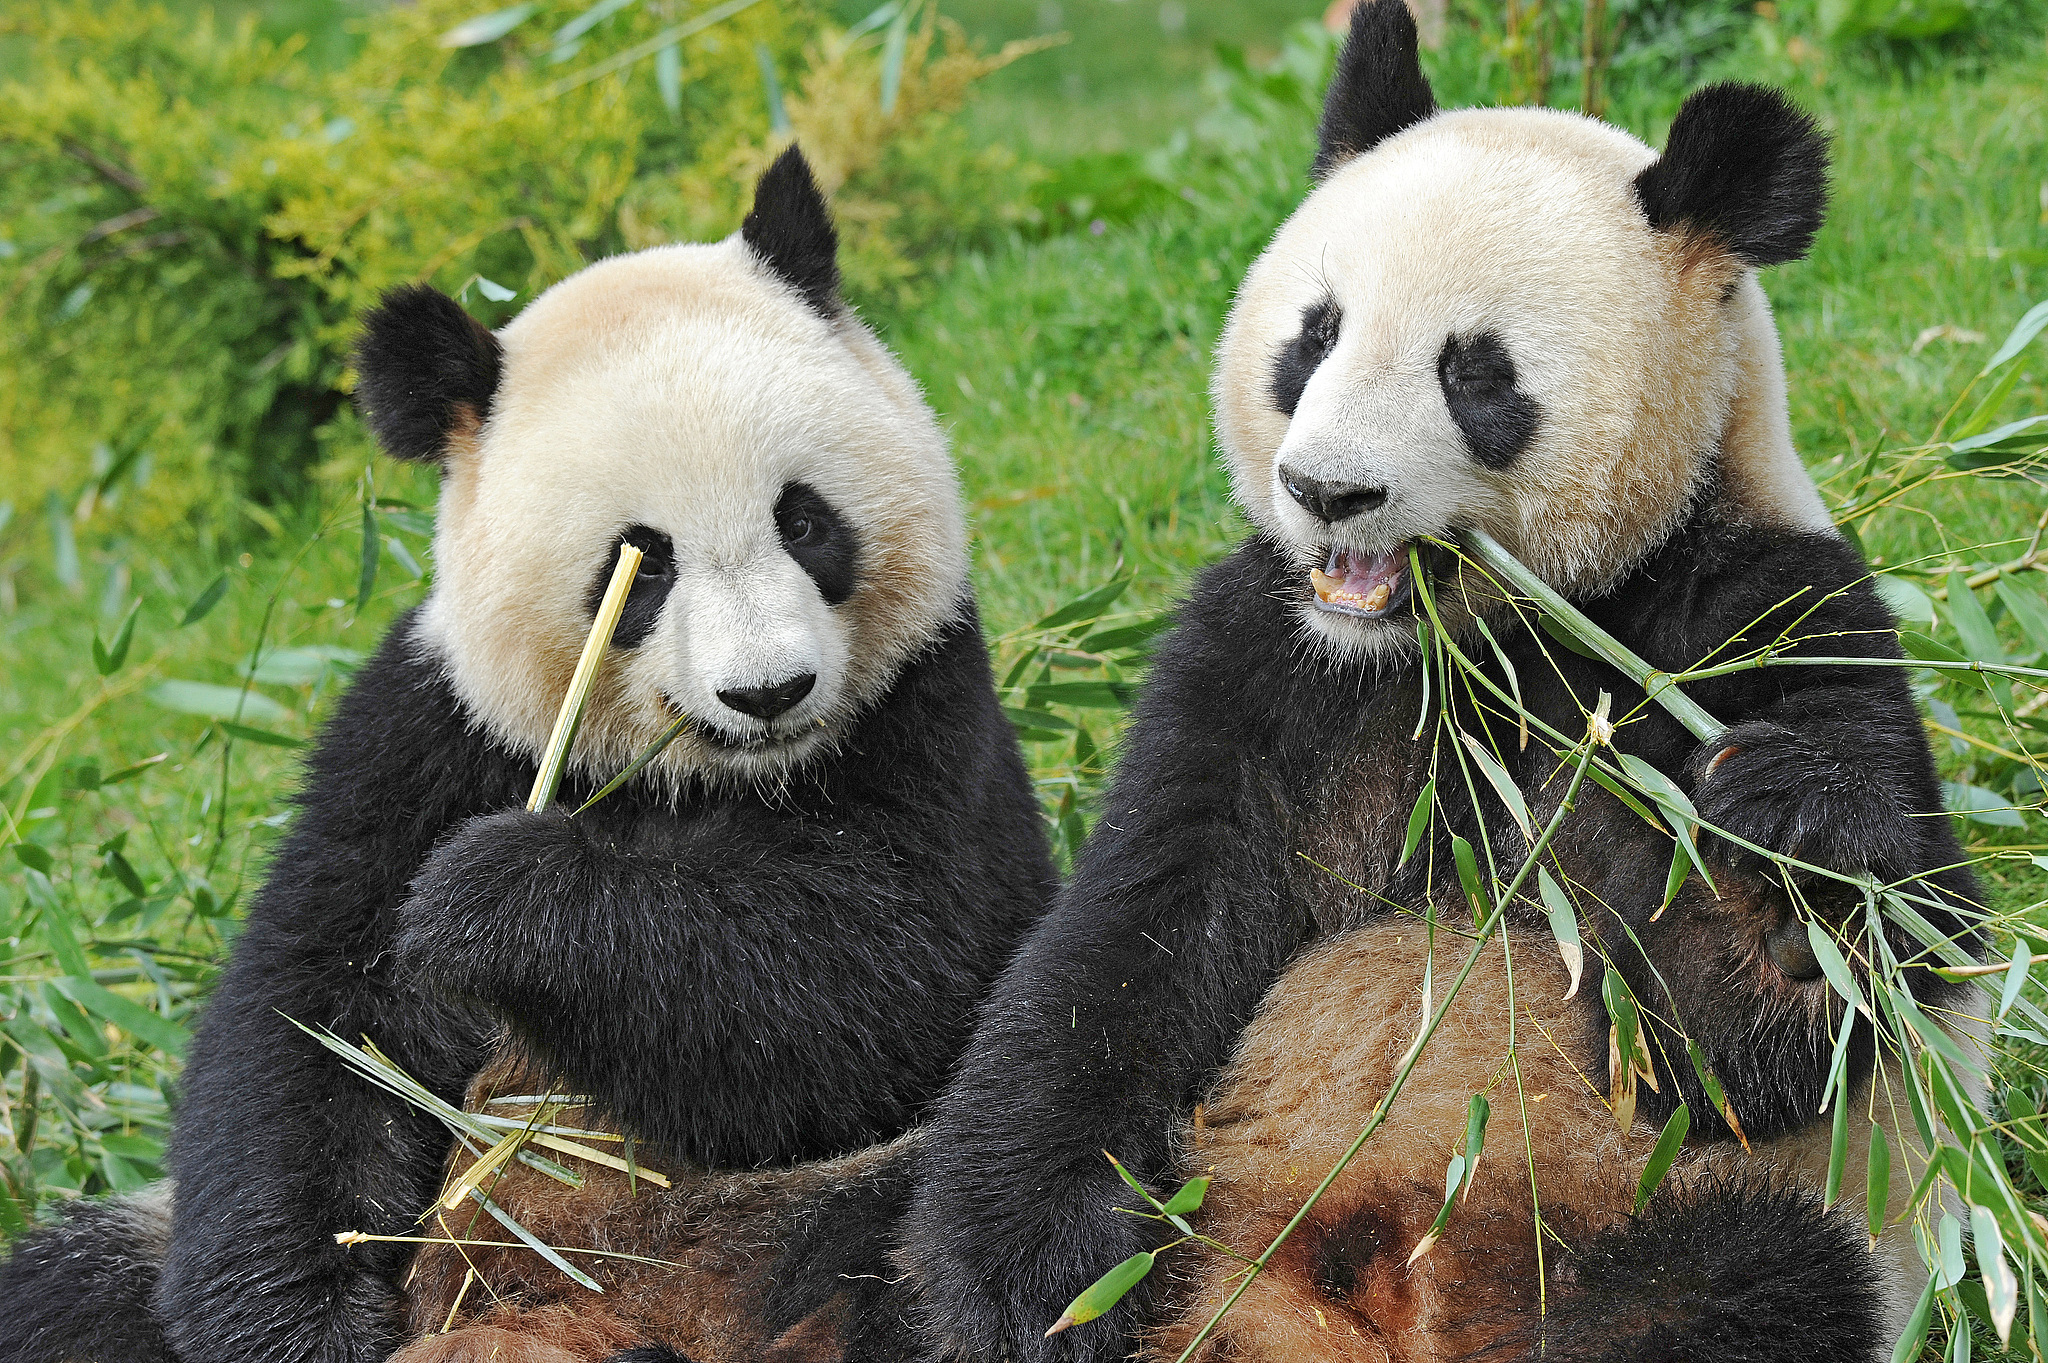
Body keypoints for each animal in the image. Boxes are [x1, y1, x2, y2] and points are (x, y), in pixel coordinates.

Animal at [0, 145, 1054, 1363]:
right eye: (641, 562)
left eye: (803, 520)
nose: (768, 692)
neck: (707, 775)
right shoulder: (432, 731)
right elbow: (314, 1018)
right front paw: (300, 1320)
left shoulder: (928, 710)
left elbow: (899, 973)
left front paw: (492, 899)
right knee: (68, 1288)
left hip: (834, 1214)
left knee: (911, 1244)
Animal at [900, 4, 1984, 1361]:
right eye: (1313, 334)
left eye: (1474, 374)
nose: (1325, 491)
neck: (1462, 647)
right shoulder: (1257, 665)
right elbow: (1119, 954)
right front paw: (1032, 1281)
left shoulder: (1761, 615)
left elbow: (1767, 1045)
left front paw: (1783, 889)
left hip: (1669, 1225)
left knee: (1749, 1280)